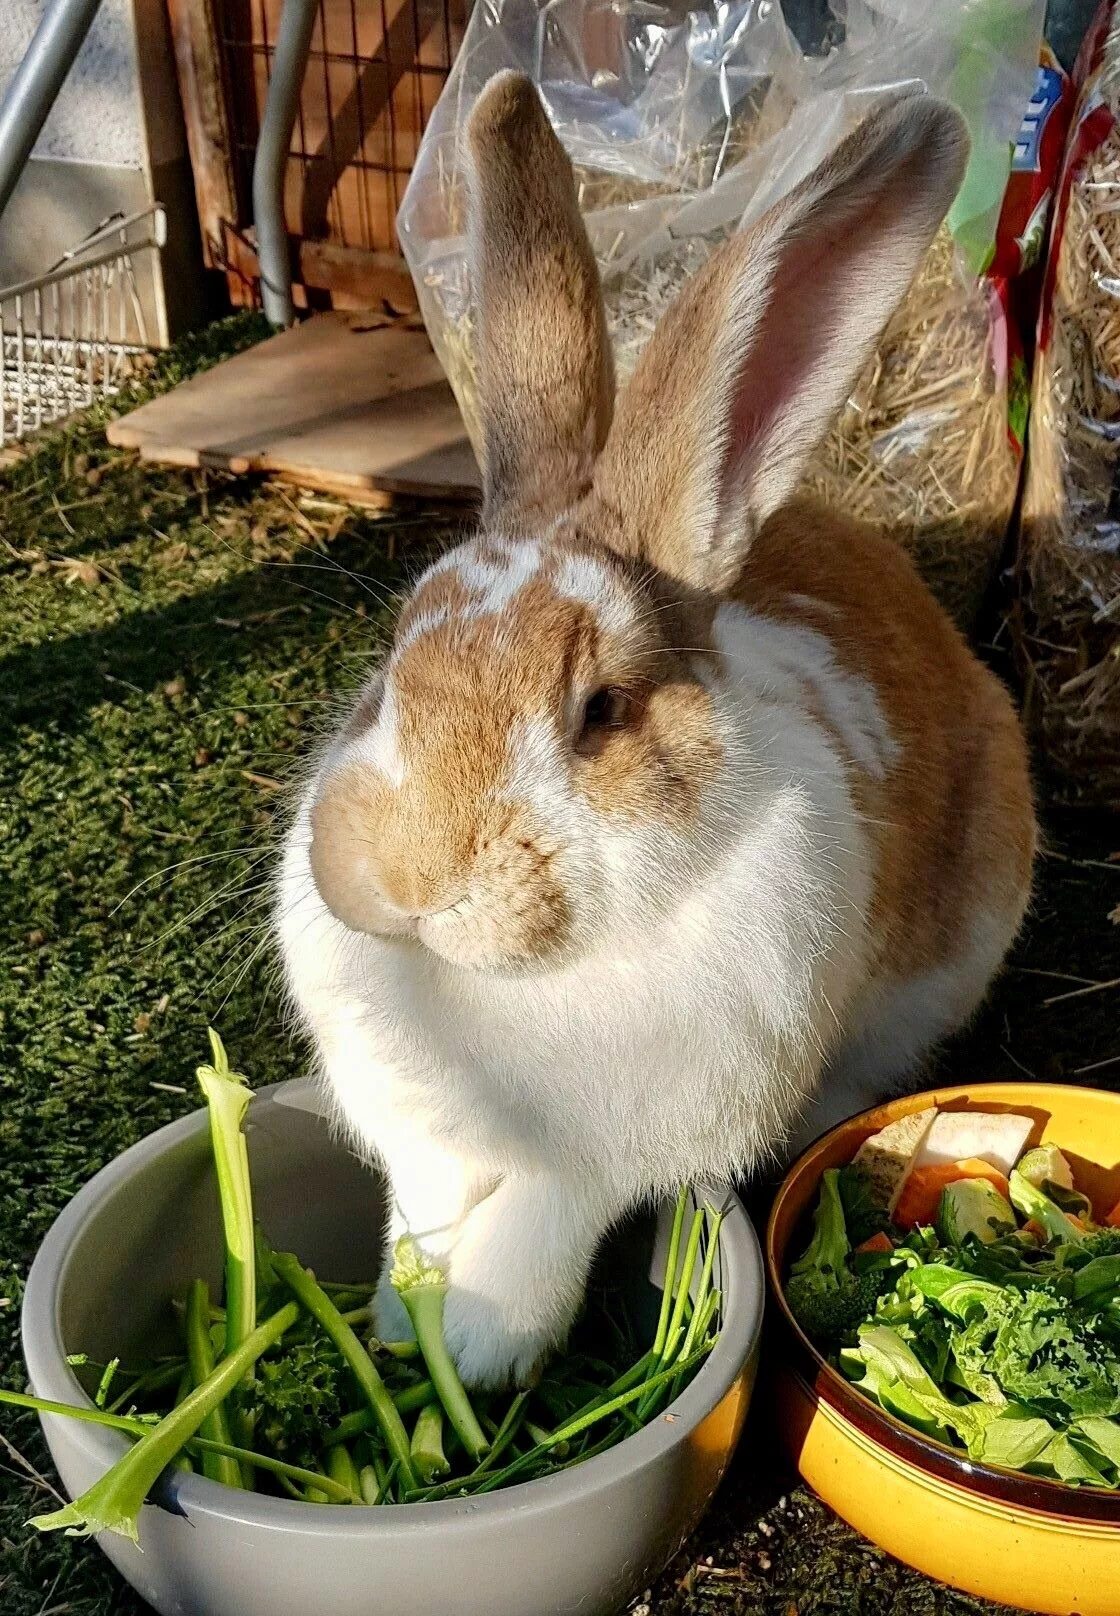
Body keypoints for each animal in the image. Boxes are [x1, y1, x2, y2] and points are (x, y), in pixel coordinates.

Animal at [274, 75, 1034, 1389]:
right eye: (391, 661)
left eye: (600, 710)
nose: (397, 879)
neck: (503, 987)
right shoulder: (417, 1133)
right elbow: (424, 1209)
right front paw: (403, 1323)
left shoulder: (601, 1159)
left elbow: (533, 1228)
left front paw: (474, 1349)